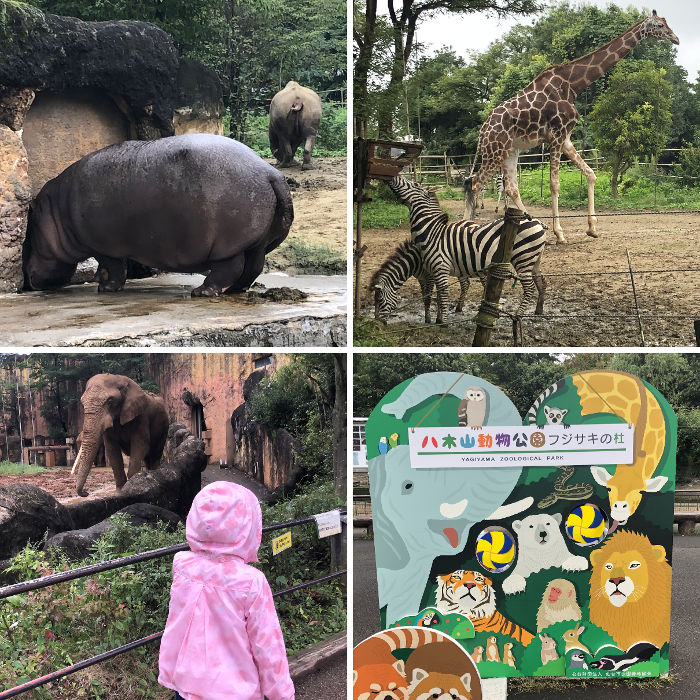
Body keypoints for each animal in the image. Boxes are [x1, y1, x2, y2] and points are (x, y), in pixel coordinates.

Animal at [23, 133, 294, 296]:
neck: (57, 211)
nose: (28, 280)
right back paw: (235, 291)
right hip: (256, 240)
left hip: (227, 243)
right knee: (253, 266)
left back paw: (202, 291)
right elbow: (111, 268)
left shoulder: (104, 246)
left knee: (231, 268)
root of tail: (270, 172)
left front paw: (105, 288)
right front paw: (103, 282)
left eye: (30, 234)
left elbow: (114, 267)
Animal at [388, 178, 548, 326]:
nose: (392, 177)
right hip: (534, 260)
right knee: (541, 282)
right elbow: (438, 295)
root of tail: (537, 222)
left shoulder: (440, 267)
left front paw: (442, 322)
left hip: (523, 258)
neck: (432, 233)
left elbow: (443, 295)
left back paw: (518, 315)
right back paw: (538, 310)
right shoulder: (434, 270)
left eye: (413, 184)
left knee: (529, 288)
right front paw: (438, 318)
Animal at [464, 8, 680, 241]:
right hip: (494, 151)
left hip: (509, 150)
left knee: (510, 188)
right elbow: (554, 184)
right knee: (475, 184)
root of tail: (482, 132)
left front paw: (592, 228)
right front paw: (560, 233)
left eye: (666, 22)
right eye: (659, 25)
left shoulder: (566, 138)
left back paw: (533, 224)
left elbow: (591, 174)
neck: (573, 85)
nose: (675, 38)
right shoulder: (556, 135)